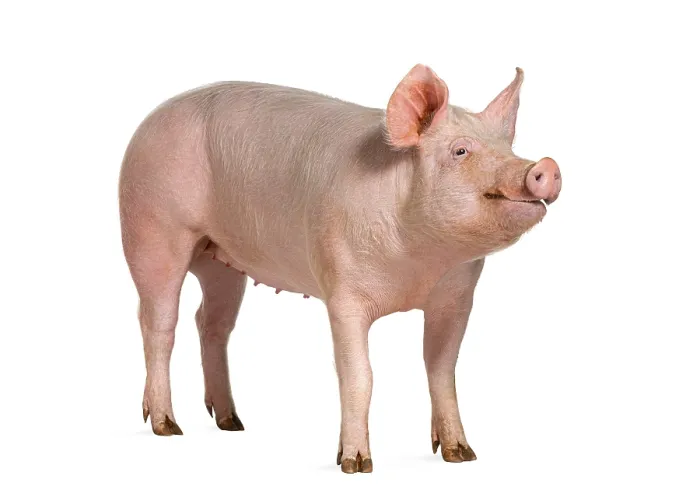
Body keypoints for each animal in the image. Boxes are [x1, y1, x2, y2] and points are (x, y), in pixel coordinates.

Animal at [118, 64, 561, 474]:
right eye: (460, 151)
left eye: (508, 147)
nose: (545, 165)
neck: (419, 268)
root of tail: (151, 119)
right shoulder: (343, 293)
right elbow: (359, 376)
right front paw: (355, 464)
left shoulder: (457, 299)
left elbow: (441, 370)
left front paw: (461, 455)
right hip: (152, 228)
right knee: (158, 322)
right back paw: (167, 426)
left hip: (222, 260)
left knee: (211, 323)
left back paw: (232, 422)